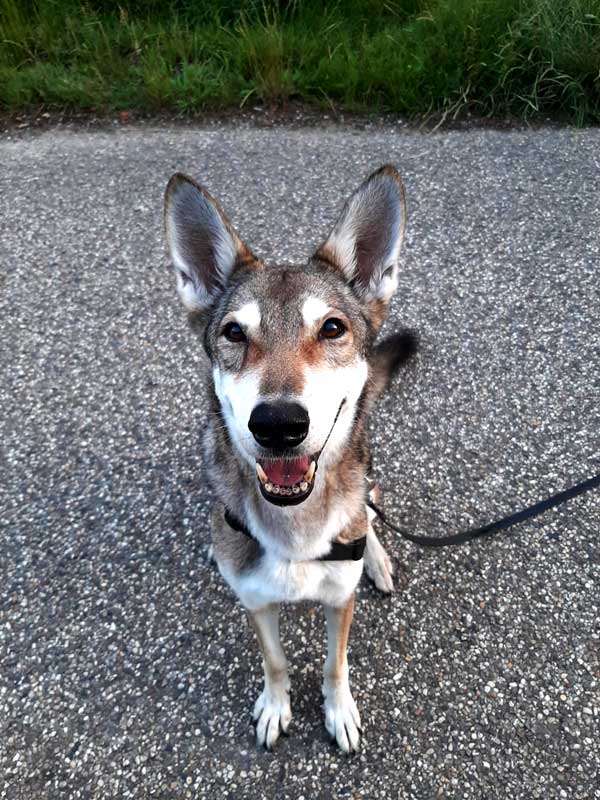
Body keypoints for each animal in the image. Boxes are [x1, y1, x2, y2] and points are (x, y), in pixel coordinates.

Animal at [163, 165, 417, 753]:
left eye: (332, 328)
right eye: (234, 333)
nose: (278, 425)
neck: (294, 524)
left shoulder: (339, 602)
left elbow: (334, 665)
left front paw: (339, 711)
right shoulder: (257, 603)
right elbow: (275, 662)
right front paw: (276, 706)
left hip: (369, 482)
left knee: (370, 514)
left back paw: (375, 558)